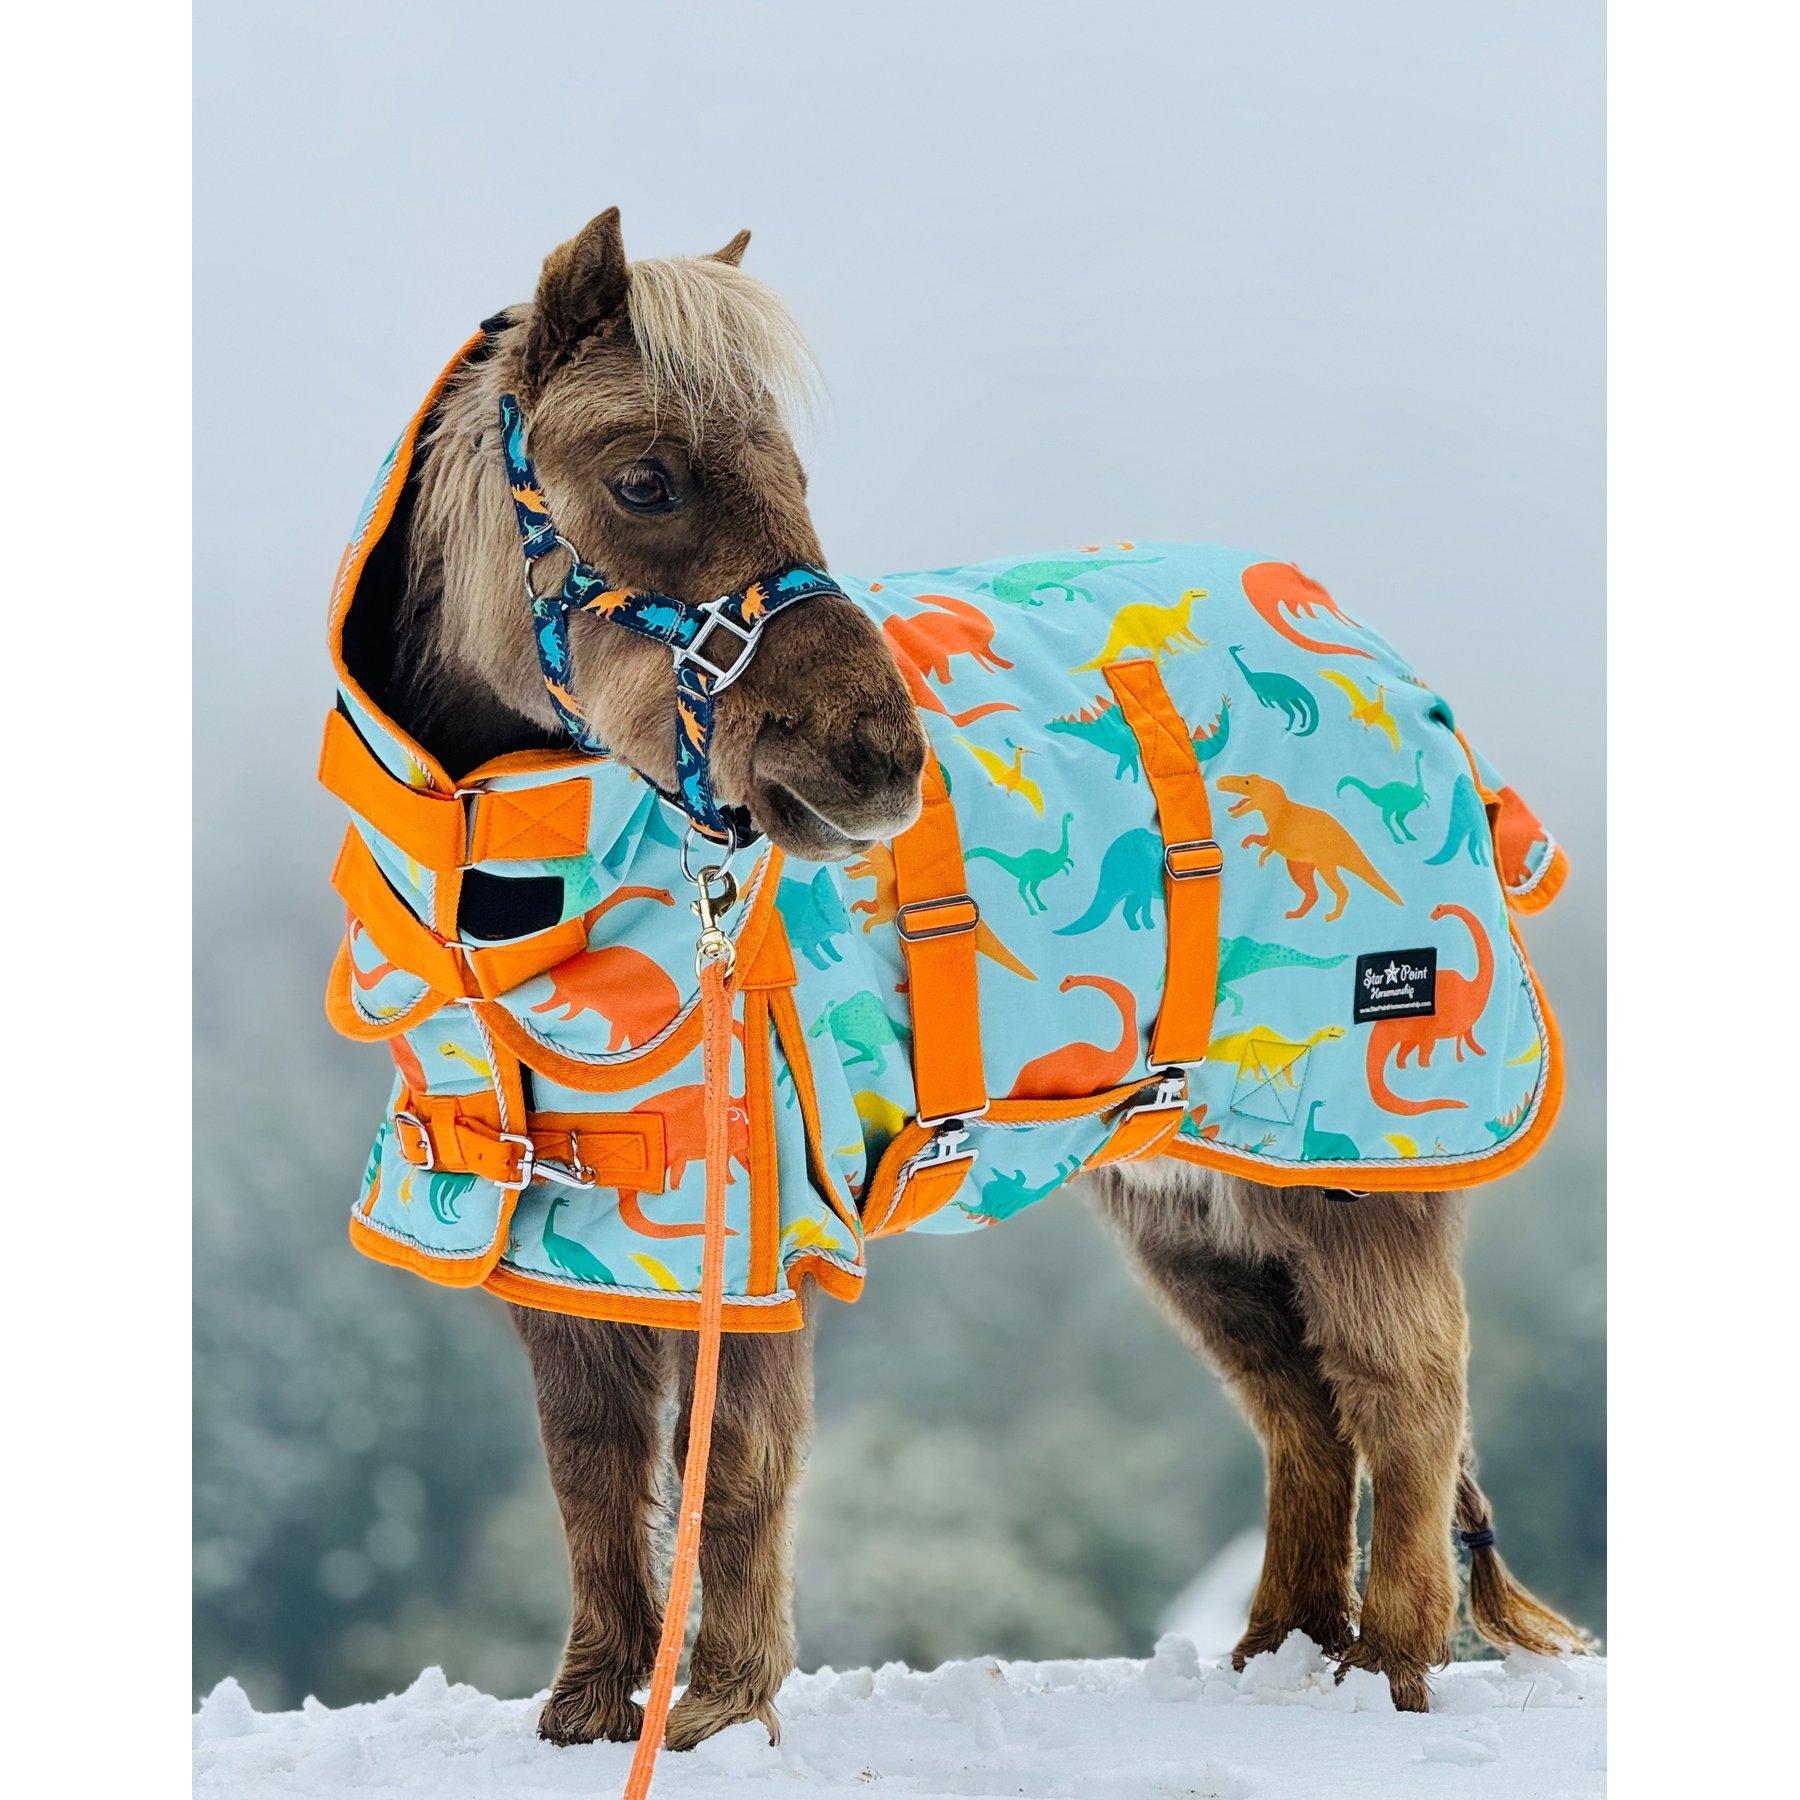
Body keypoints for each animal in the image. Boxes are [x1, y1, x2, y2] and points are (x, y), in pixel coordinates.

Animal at [363, 206, 1581, 1750]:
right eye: (645, 478)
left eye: (796, 475)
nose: (878, 765)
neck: (520, 910)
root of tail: (1404, 682)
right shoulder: (562, 1233)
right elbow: (589, 1465)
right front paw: (590, 1712)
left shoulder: (759, 1227)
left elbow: (736, 1464)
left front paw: (719, 1713)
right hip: (1199, 1197)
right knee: (1301, 1410)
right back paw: (1278, 1656)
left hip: (1355, 1173)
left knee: (1406, 1396)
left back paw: (1387, 1673)